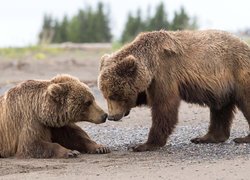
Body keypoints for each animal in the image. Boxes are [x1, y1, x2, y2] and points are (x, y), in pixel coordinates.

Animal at [97, 29, 250, 152]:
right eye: (105, 95)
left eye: (115, 95)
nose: (112, 116)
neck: (150, 63)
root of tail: (245, 45)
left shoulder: (165, 73)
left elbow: (164, 107)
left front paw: (143, 145)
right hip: (222, 87)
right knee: (220, 109)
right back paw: (205, 137)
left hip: (239, 72)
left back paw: (243, 138)